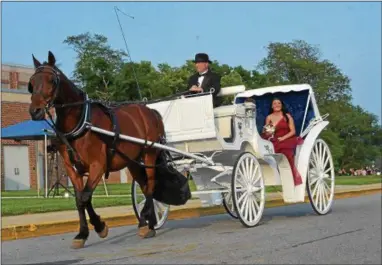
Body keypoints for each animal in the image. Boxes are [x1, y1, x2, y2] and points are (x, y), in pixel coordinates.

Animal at [29, 51, 166, 248]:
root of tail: (149, 110)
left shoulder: (98, 165)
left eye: (52, 80)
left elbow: (85, 197)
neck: (81, 122)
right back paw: (150, 224)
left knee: (151, 186)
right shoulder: (73, 169)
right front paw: (82, 233)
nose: (35, 111)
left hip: (150, 154)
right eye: (31, 83)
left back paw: (144, 222)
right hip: (132, 161)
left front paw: (100, 227)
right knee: (144, 184)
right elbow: (80, 200)